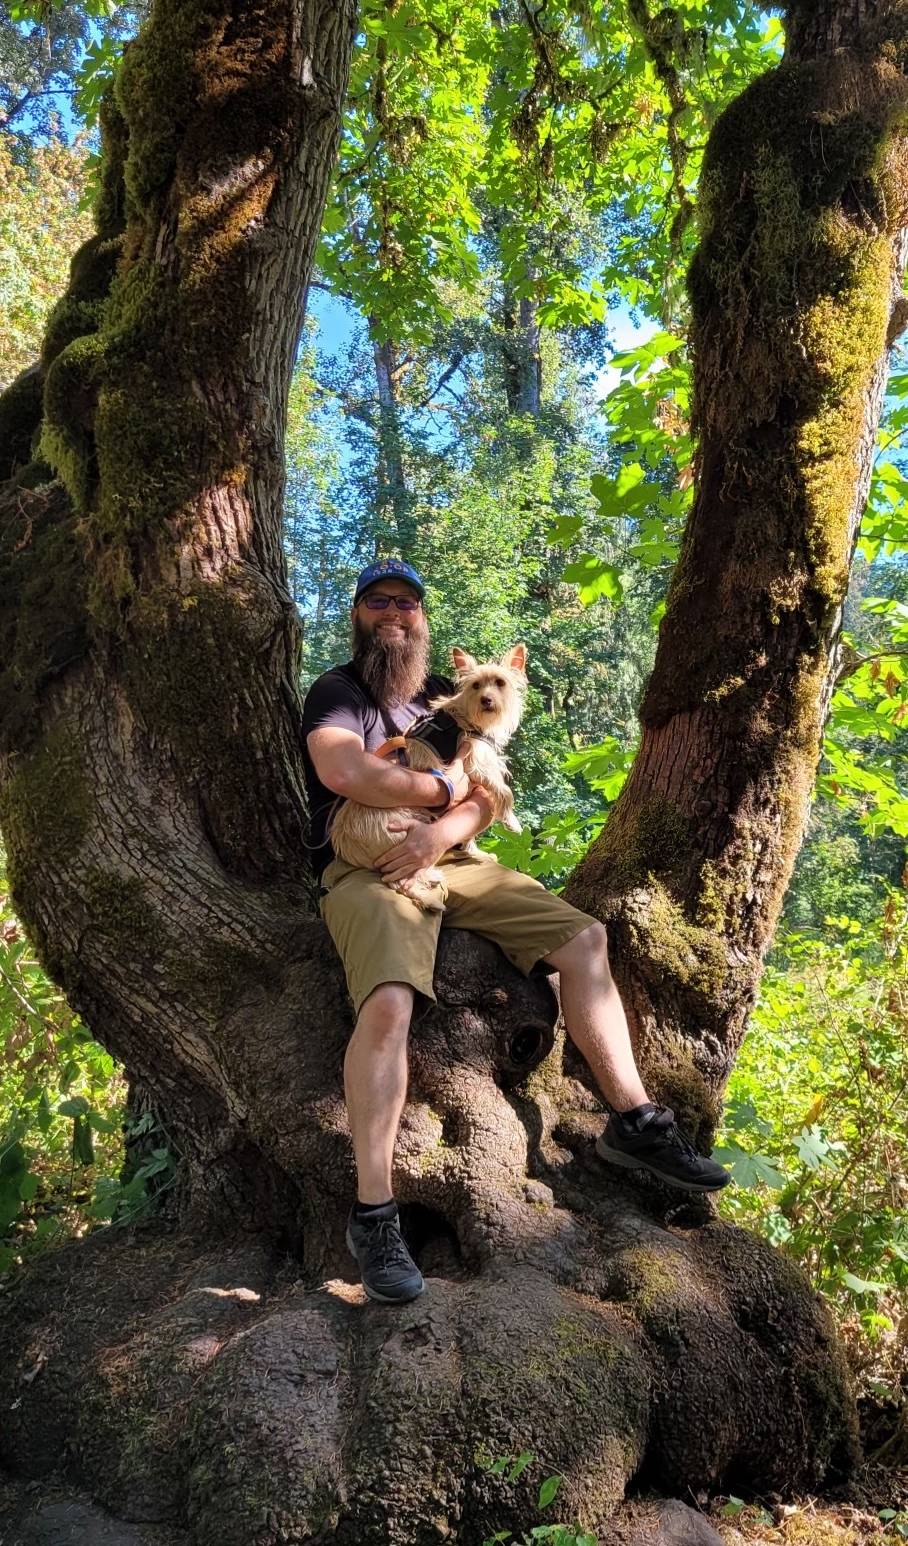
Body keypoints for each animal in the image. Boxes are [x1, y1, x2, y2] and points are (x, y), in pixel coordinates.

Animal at [331, 643, 529, 909]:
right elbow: (504, 791)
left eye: (500, 682)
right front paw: (511, 821)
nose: (486, 699)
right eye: (476, 685)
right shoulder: (477, 763)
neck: (469, 717)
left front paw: (475, 851)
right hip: (402, 839)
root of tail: (344, 841)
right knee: (397, 881)